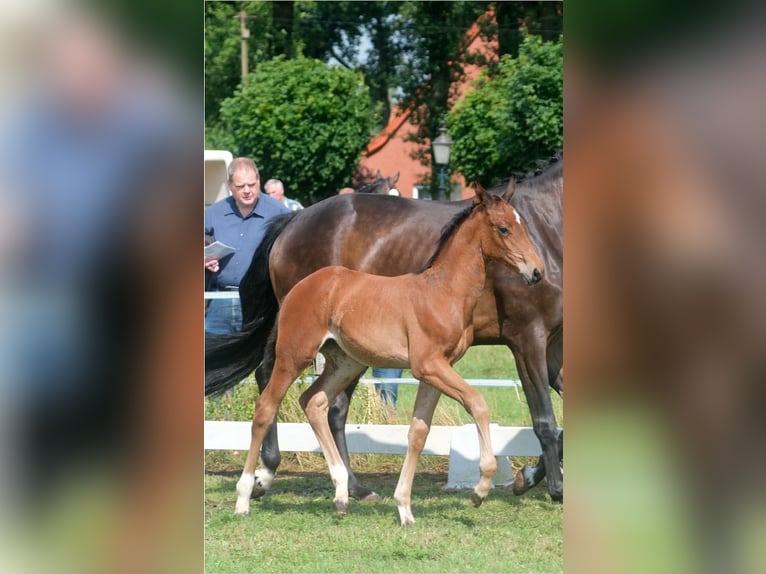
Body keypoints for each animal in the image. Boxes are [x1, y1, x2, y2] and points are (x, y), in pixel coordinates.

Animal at [204, 158, 564, 504]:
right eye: (503, 228)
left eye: (524, 227)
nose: (535, 272)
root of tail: (292, 220)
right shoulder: (526, 338)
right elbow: (542, 419)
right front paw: (545, 486)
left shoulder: (551, 346)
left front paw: (530, 477)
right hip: (300, 342)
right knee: (274, 387)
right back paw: (267, 477)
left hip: (347, 356)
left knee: (324, 404)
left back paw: (344, 486)